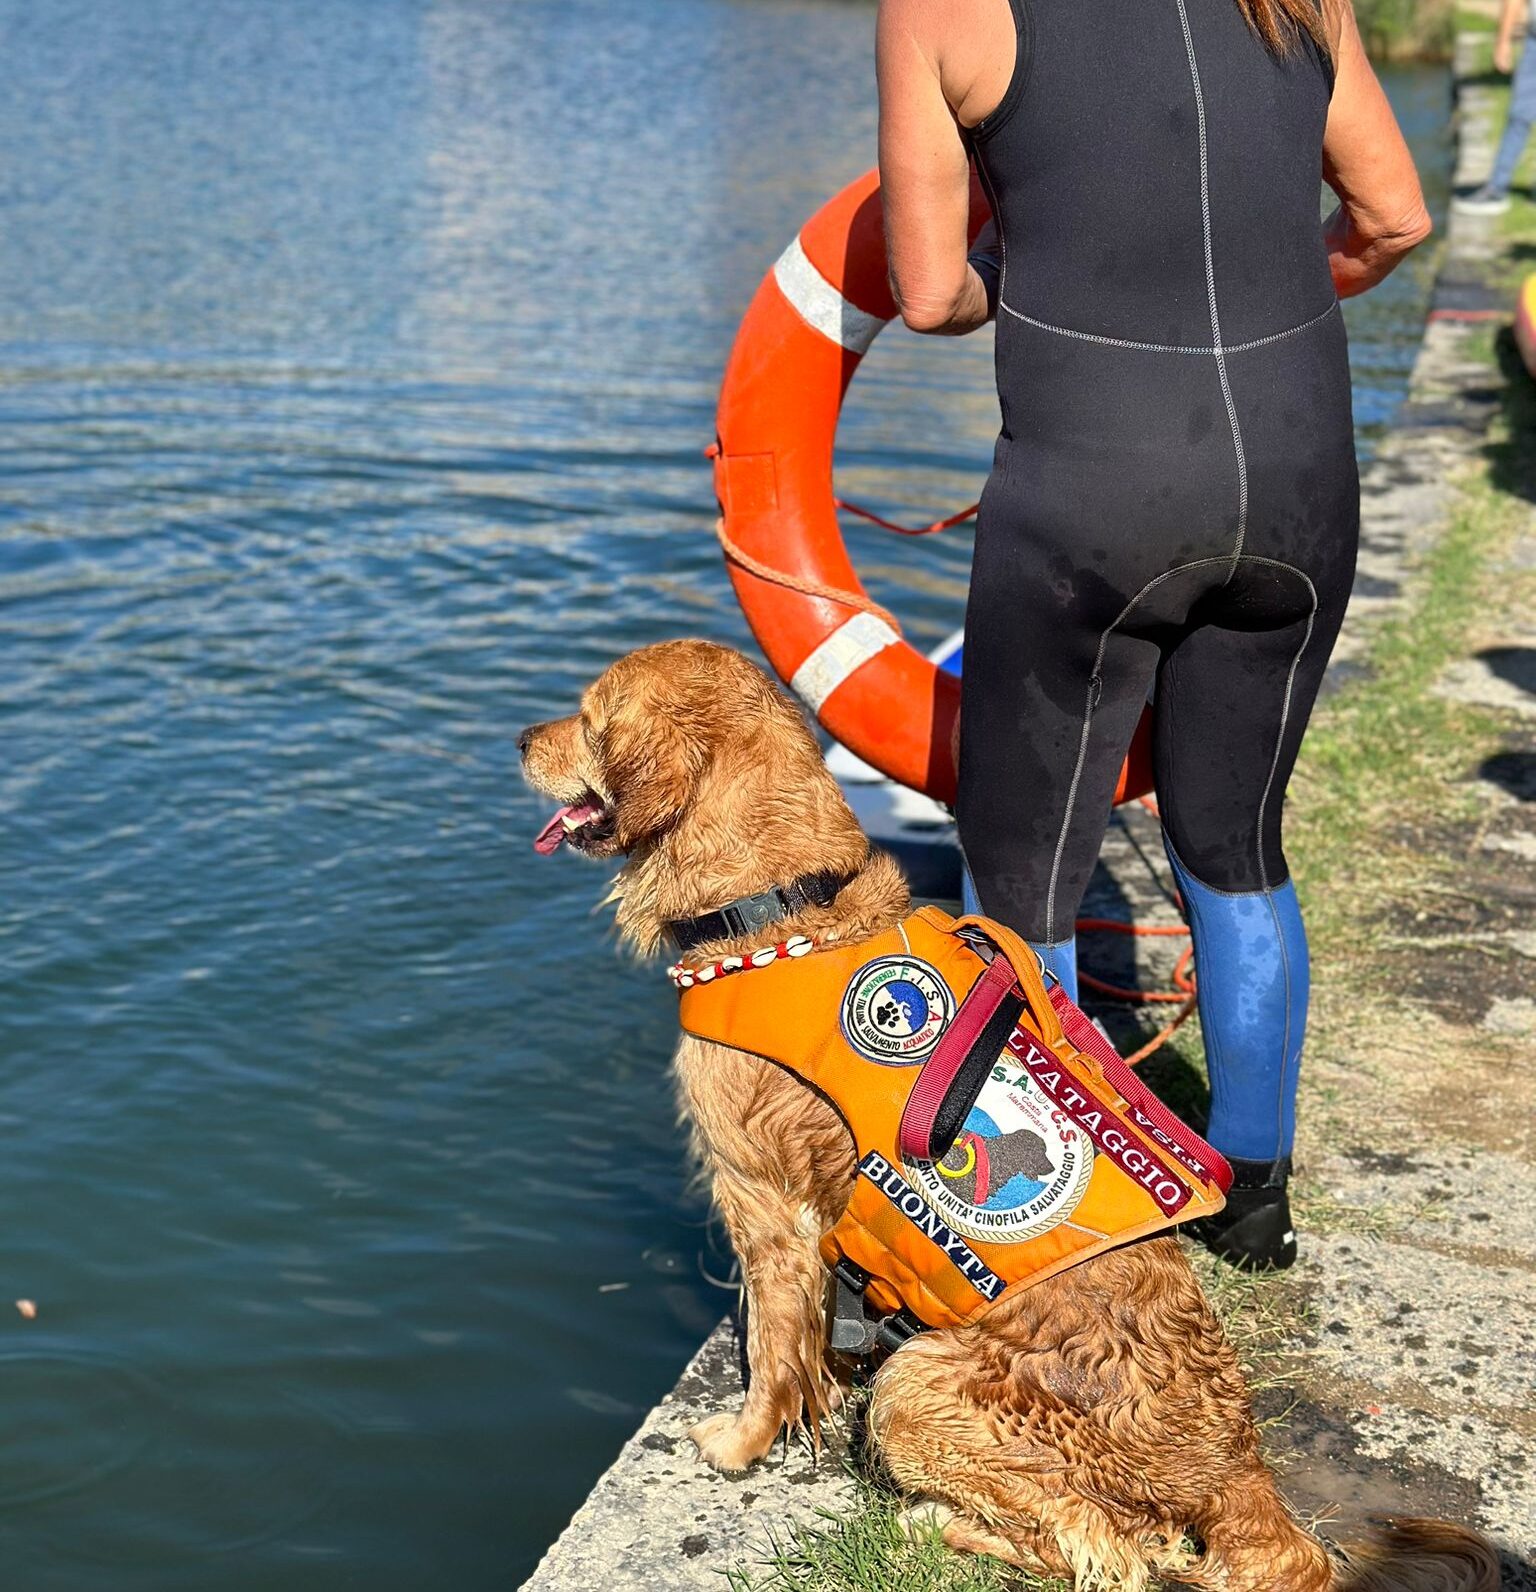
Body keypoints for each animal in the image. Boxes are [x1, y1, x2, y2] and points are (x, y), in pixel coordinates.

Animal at [525, 639, 1496, 1592]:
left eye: (588, 716)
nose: (521, 740)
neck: (787, 902)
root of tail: (1235, 1467)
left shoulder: (763, 1204)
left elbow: (769, 1349)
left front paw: (741, 1443)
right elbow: (809, 1344)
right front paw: (822, 1387)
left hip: (918, 1381)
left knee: (1109, 1552)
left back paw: (934, 1524)